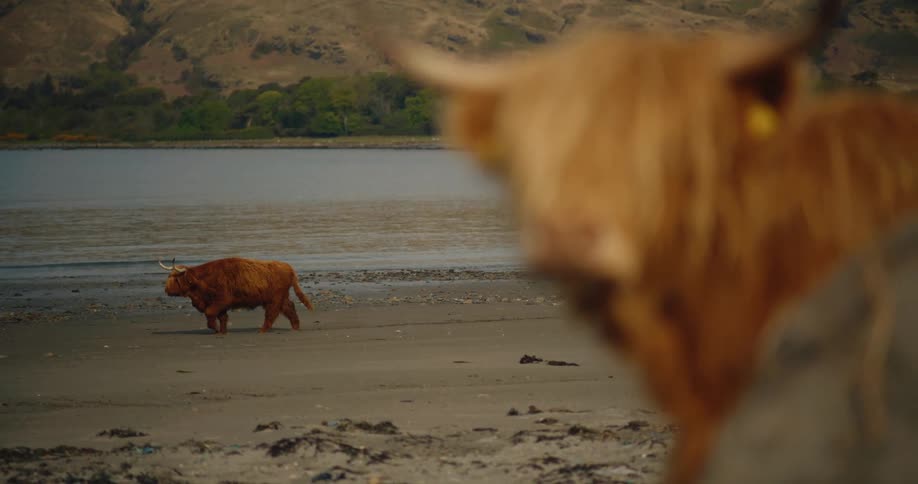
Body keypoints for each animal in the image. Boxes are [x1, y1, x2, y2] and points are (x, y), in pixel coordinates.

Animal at [158, 257, 315, 334]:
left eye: (175, 279)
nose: (166, 290)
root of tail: (289, 267)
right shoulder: (220, 305)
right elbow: (222, 317)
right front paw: (221, 331)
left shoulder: (222, 300)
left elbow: (210, 313)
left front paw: (215, 329)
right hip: (281, 298)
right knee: (290, 308)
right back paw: (295, 327)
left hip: (275, 299)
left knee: (272, 314)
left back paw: (262, 330)